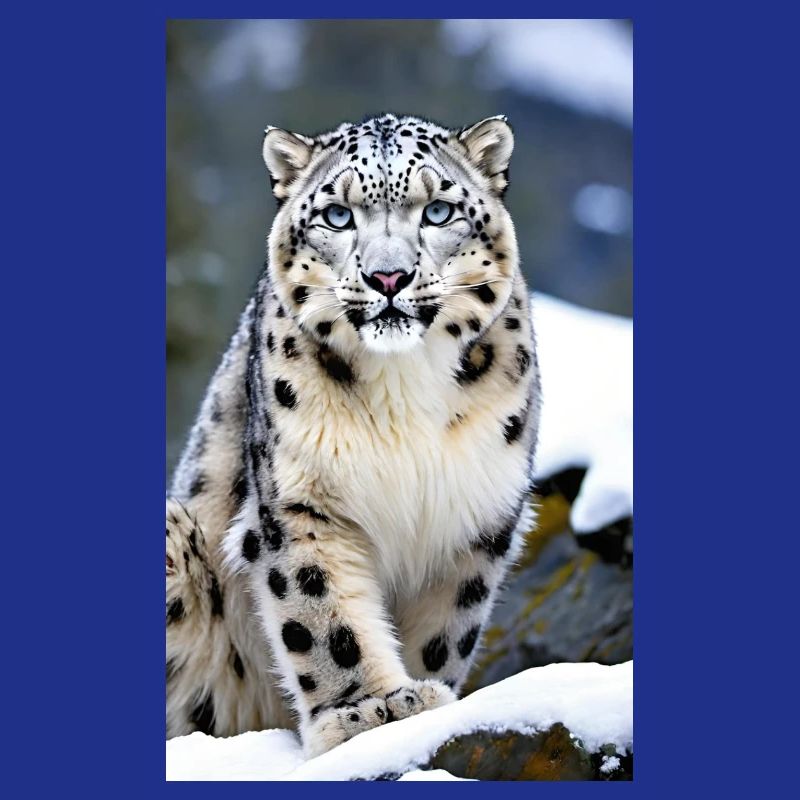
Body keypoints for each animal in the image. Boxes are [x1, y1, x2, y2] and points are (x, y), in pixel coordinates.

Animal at [166, 113, 541, 757]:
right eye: (337, 216)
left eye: (438, 210)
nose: (388, 276)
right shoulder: (300, 500)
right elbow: (322, 612)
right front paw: (368, 711)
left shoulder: (473, 511)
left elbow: (445, 628)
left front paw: (420, 697)